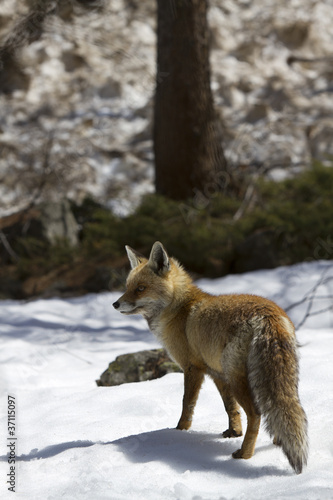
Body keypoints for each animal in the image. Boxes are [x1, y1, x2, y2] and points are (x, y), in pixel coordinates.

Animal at [113, 242, 308, 472]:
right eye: (127, 287)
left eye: (140, 288)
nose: (115, 304)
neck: (178, 310)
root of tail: (269, 315)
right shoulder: (216, 373)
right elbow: (230, 408)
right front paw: (234, 432)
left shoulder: (192, 367)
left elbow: (187, 405)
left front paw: (179, 432)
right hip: (272, 378)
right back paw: (277, 441)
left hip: (238, 378)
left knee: (256, 414)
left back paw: (245, 454)